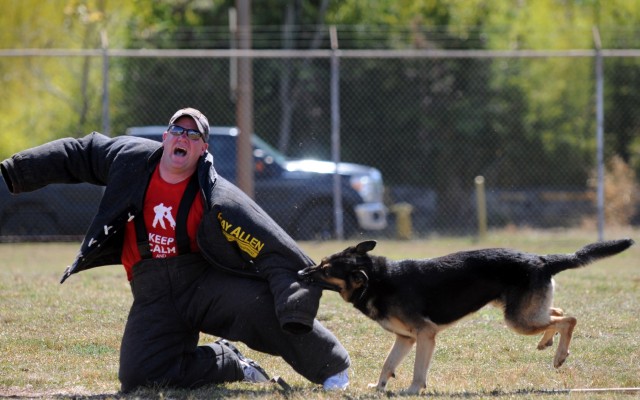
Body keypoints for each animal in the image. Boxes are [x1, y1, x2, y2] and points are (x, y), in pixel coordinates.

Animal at [298, 238, 632, 394]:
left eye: (326, 270)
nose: (301, 273)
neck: (378, 279)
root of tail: (541, 259)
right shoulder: (405, 339)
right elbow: (387, 364)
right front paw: (379, 389)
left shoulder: (425, 335)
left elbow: (417, 370)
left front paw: (412, 390)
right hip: (522, 313)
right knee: (557, 312)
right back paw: (546, 344)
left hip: (517, 320)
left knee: (569, 318)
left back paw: (559, 355)